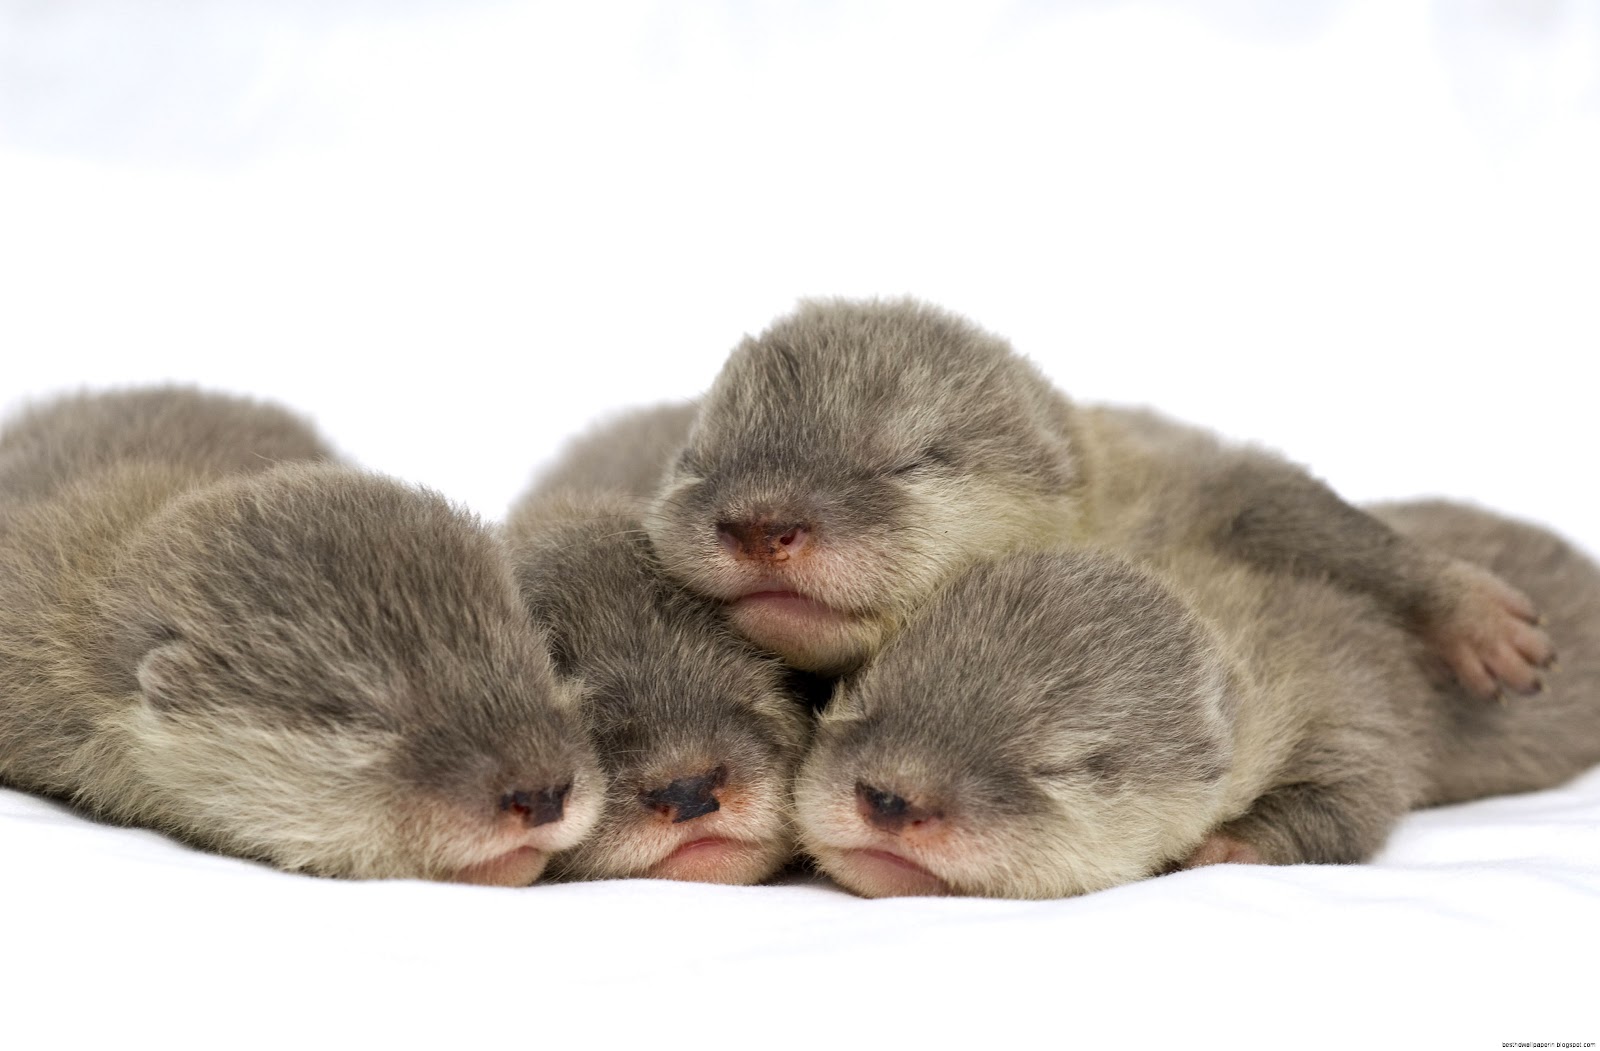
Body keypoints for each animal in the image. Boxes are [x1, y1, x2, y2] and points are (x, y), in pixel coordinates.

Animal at [644, 298, 1551, 695]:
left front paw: (1465, 607)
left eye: (910, 461)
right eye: (696, 462)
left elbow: (1293, 504)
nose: (762, 524)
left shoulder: (1178, 485)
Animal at [794, 501, 1600, 899]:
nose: (890, 797)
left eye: (1059, 766)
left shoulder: (1359, 699)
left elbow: (1354, 800)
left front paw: (1226, 846)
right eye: (859, 699)